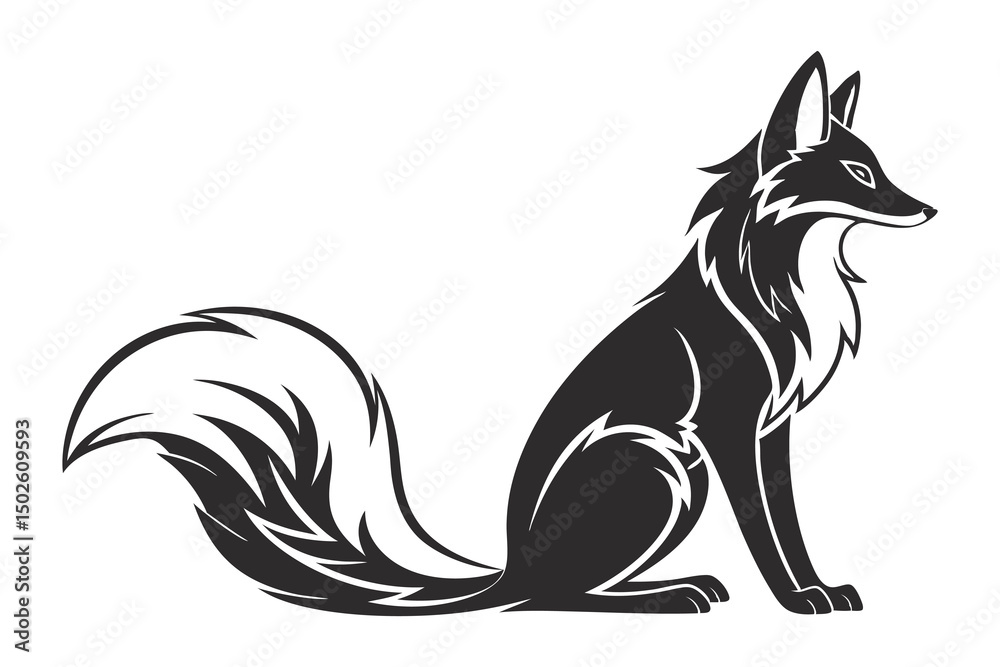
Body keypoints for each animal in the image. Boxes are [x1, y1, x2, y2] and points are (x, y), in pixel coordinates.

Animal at [64, 52, 936, 615]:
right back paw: (661, 595)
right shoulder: (728, 428)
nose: (928, 209)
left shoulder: (770, 429)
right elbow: (766, 530)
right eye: (860, 175)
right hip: (657, 459)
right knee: (558, 598)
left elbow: (788, 517)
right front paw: (798, 599)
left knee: (563, 591)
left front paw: (818, 587)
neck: (779, 282)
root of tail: (509, 565)